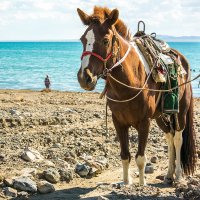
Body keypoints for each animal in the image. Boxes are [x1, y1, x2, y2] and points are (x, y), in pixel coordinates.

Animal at [76, 6, 196, 185]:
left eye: (105, 41)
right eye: (83, 40)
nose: (85, 78)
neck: (129, 82)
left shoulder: (144, 122)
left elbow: (140, 158)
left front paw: (141, 183)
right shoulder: (118, 121)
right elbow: (125, 155)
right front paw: (126, 182)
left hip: (180, 111)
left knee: (177, 138)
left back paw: (179, 175)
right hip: (160, 116)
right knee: (169, 136)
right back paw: (169, 174)